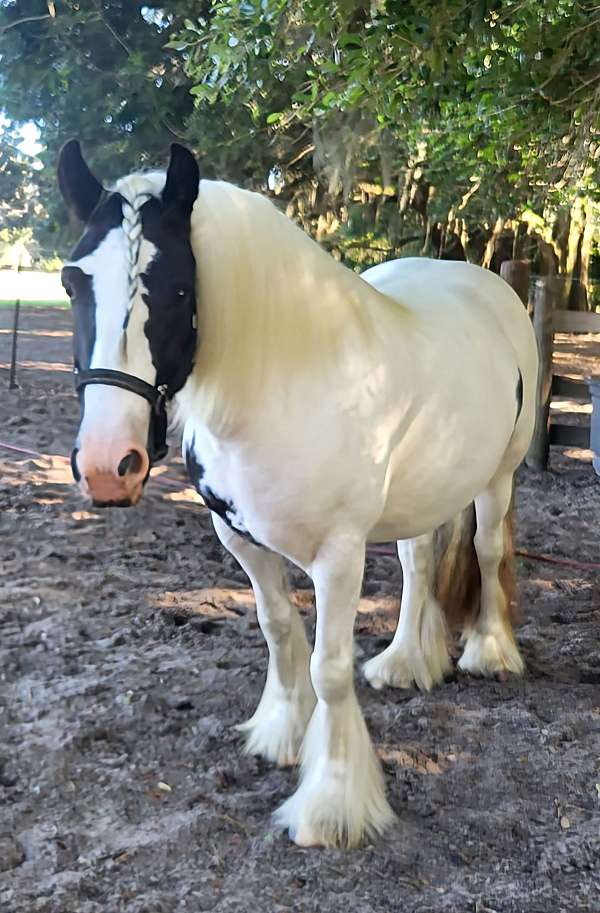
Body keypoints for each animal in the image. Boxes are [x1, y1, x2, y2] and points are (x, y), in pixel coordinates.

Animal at [57, 141, 540, 848]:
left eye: (179, 287)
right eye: (73, 282)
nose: (106, 466)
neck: (286, 383)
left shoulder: (338, 557)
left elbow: (327, 667)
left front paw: (332, 805)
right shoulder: (238, 537)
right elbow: (278, 627)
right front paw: (282, 733)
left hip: (497, 477)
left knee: (484, 551)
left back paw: (490, 652)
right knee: (420, 562)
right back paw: (405, 662)